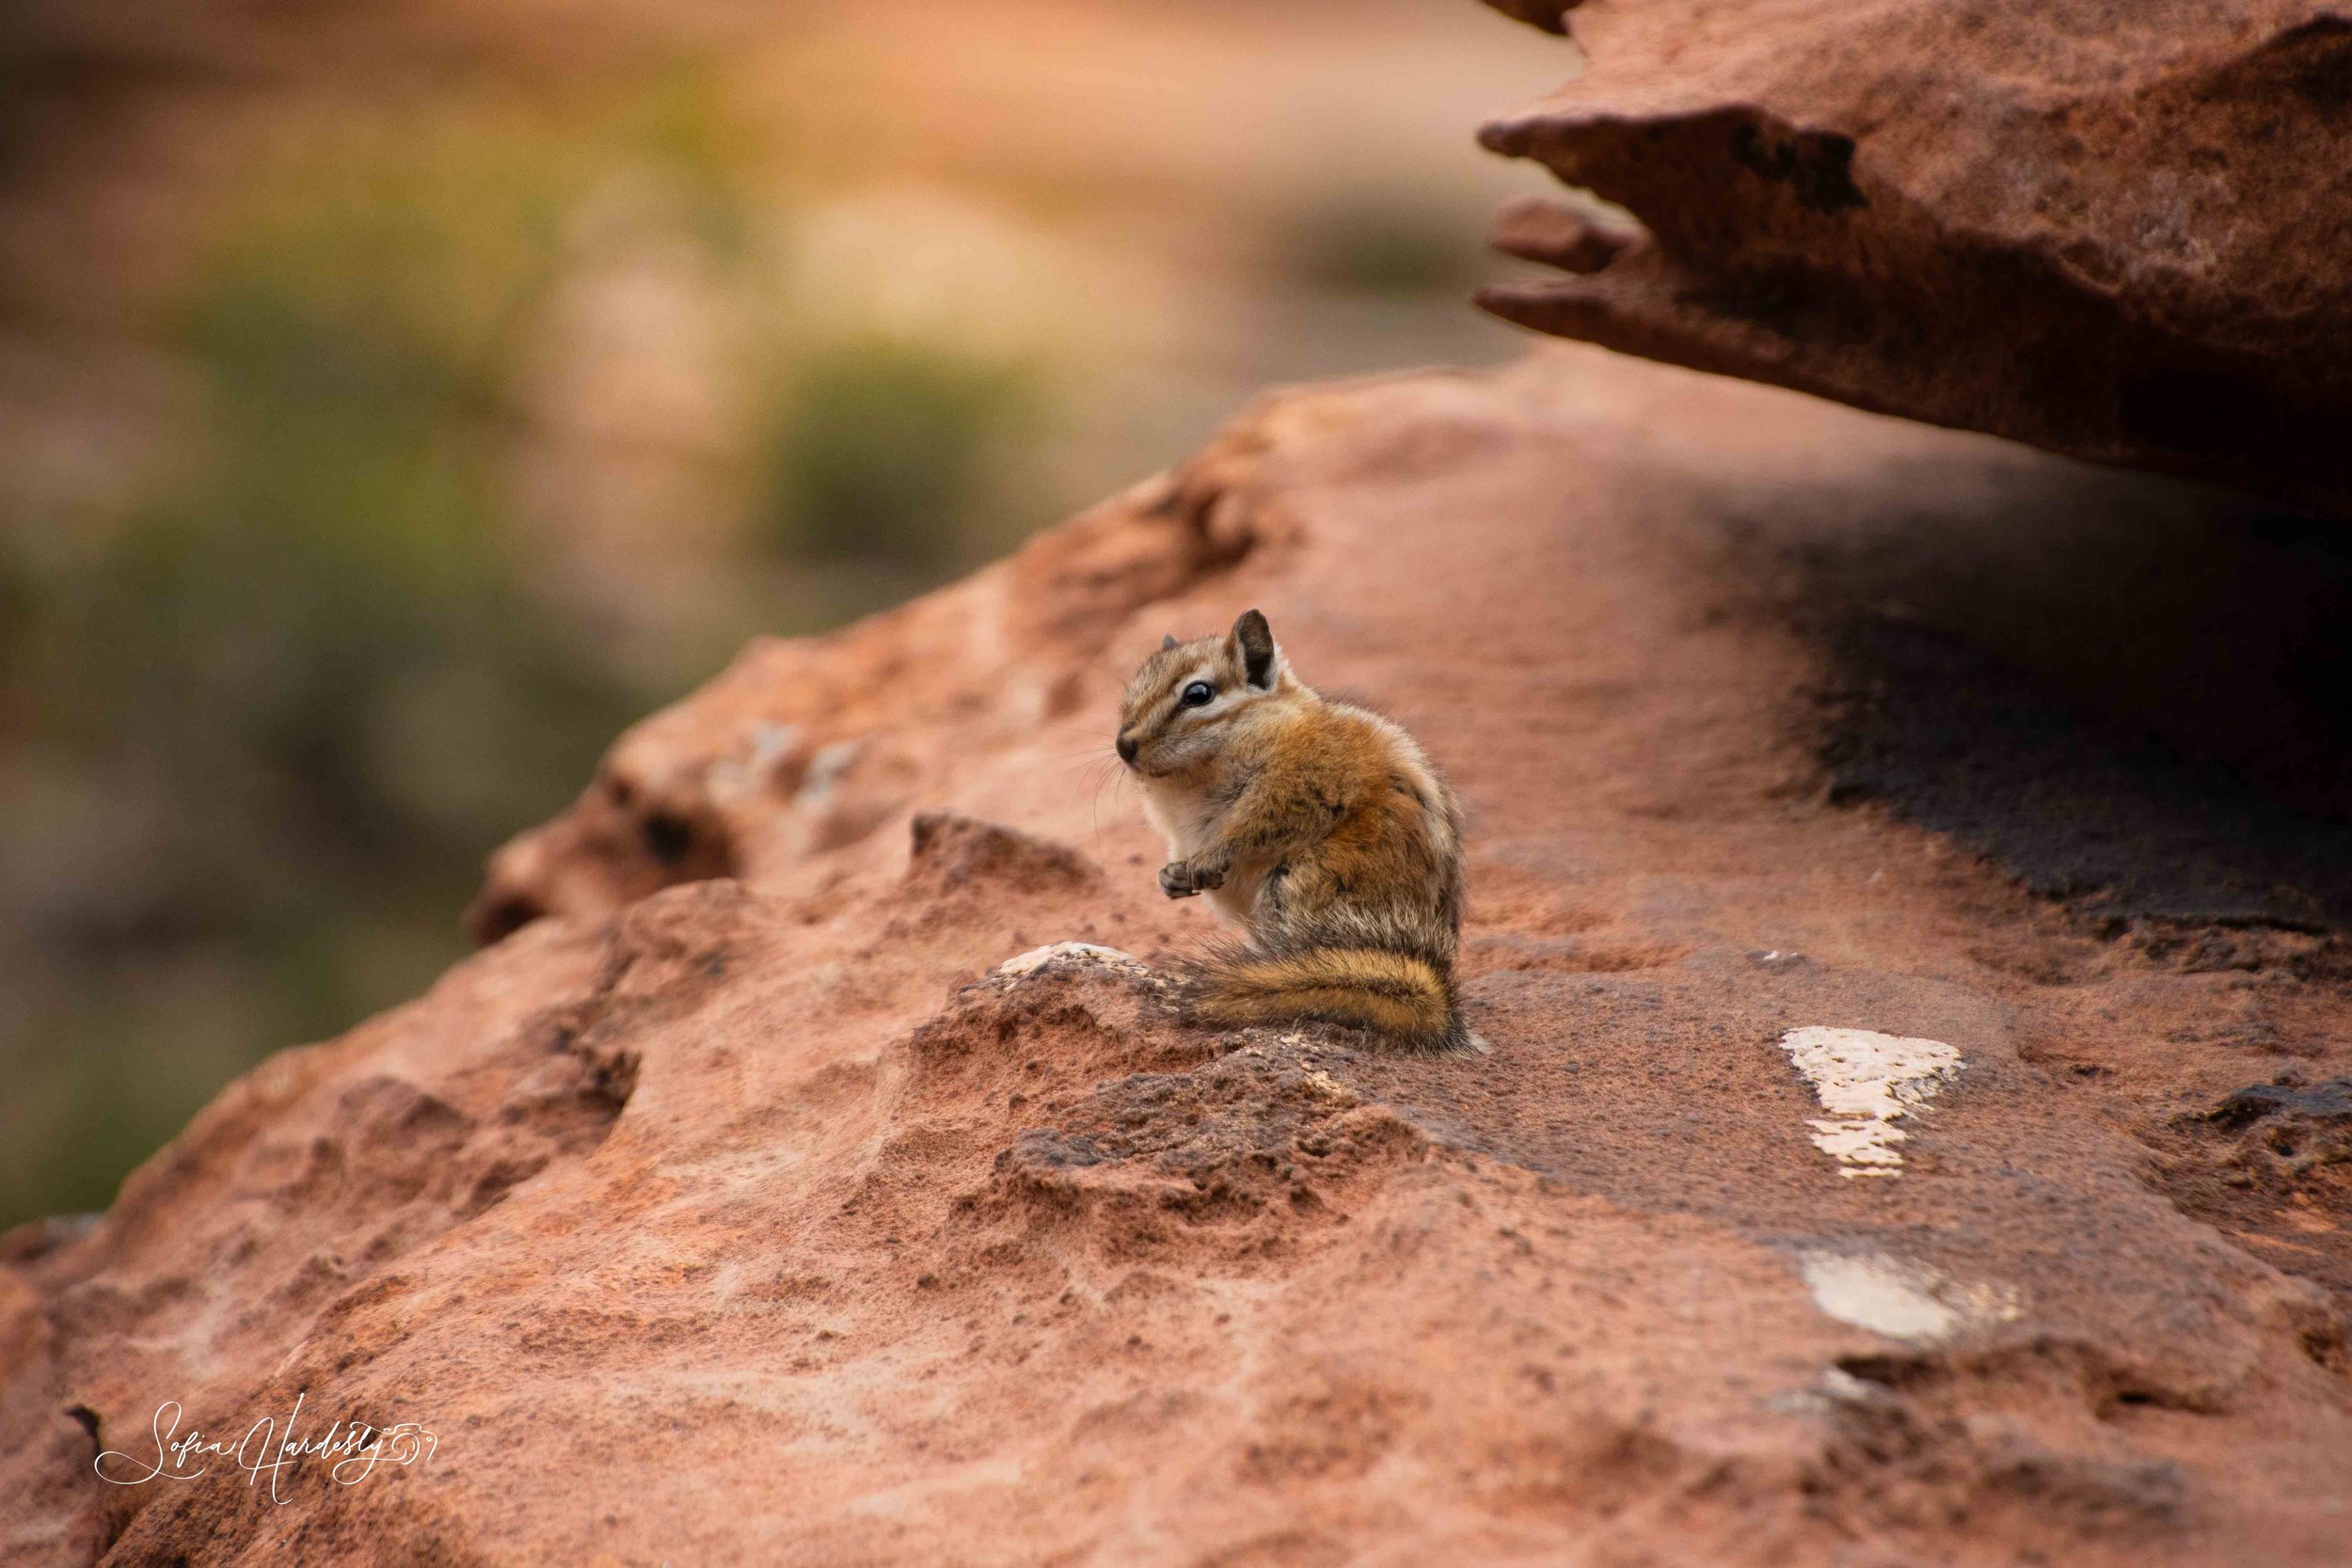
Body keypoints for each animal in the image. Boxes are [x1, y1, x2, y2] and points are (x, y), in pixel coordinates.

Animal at [1115, 608, 1467, 1051]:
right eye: (1132, 690)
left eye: (1198, 694)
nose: (1123, 745)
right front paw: (1170, 877)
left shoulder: (1301, 784)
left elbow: (1256, 827)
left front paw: (1209, 858)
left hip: (1301, 884)